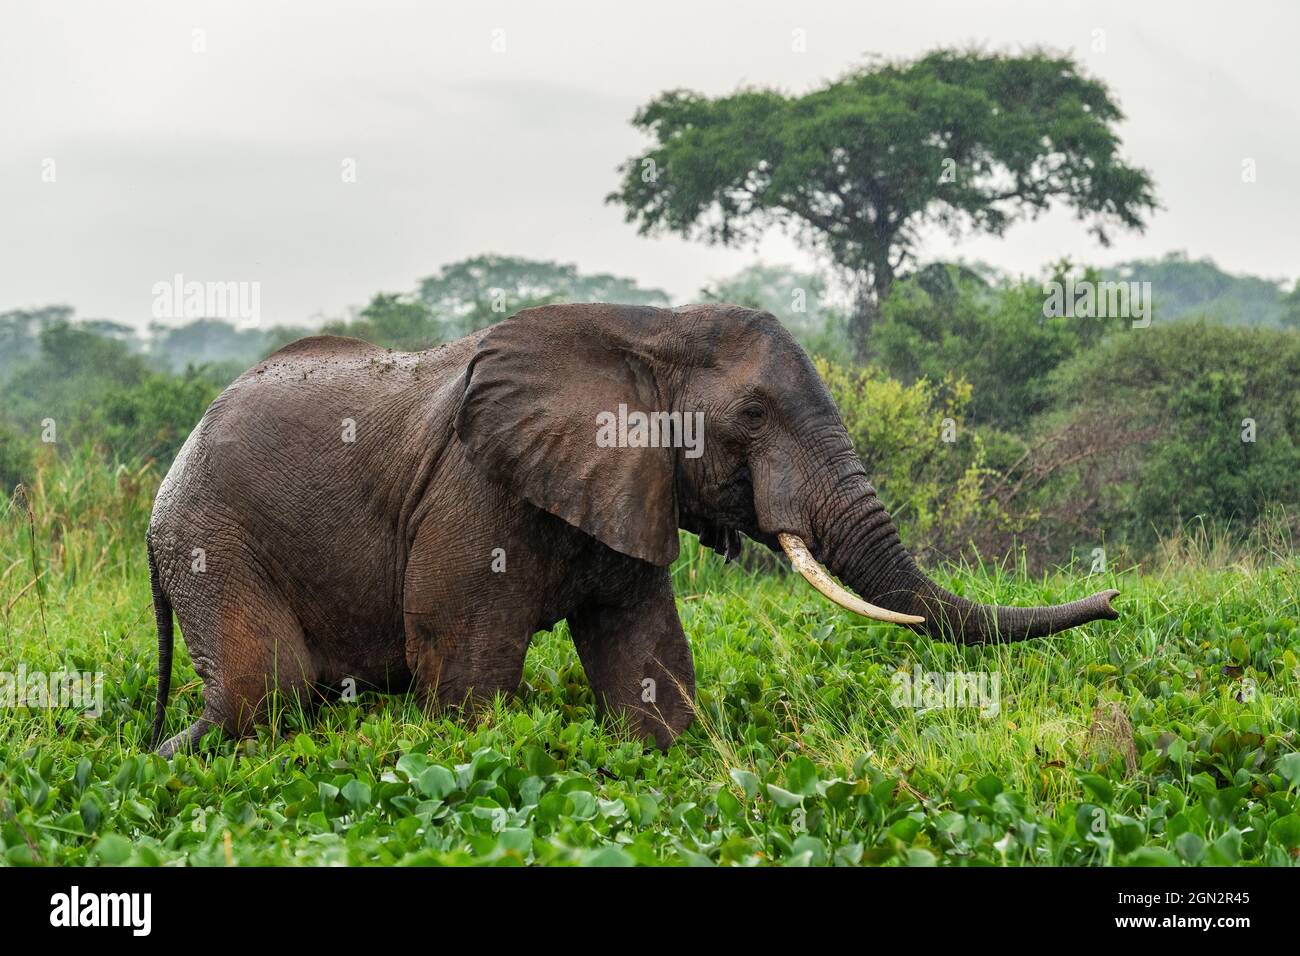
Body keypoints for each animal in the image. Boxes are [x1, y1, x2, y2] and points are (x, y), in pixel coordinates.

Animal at [144, 303, 1118, 759]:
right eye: (753, 418)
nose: (1113, 600)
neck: (651, 330)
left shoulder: (627, 487)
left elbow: (649, 670)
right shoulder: (473, 492)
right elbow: (465, 676)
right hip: (211, 534)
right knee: (265, 690)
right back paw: (163, 756)